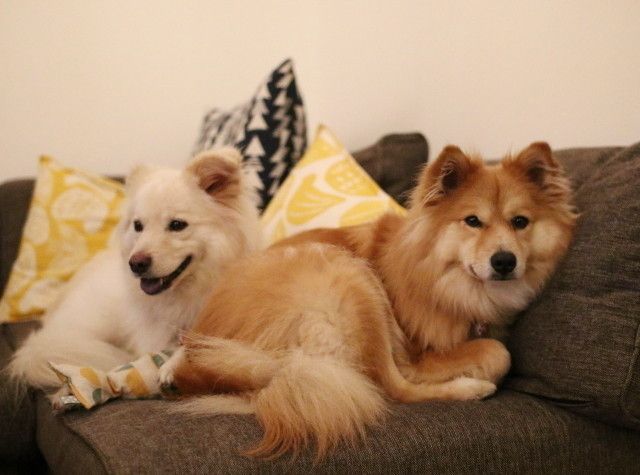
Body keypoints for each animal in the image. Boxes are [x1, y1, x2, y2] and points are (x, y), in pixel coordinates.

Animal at [167, 142, 577, 459]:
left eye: (520, 222)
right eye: (473, 221)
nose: (504, 261)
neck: (447, 282)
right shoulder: (422, 350)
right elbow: (496, 352)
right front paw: (475, 366)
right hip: (352, 278)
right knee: (392, 388)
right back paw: (470, 389)